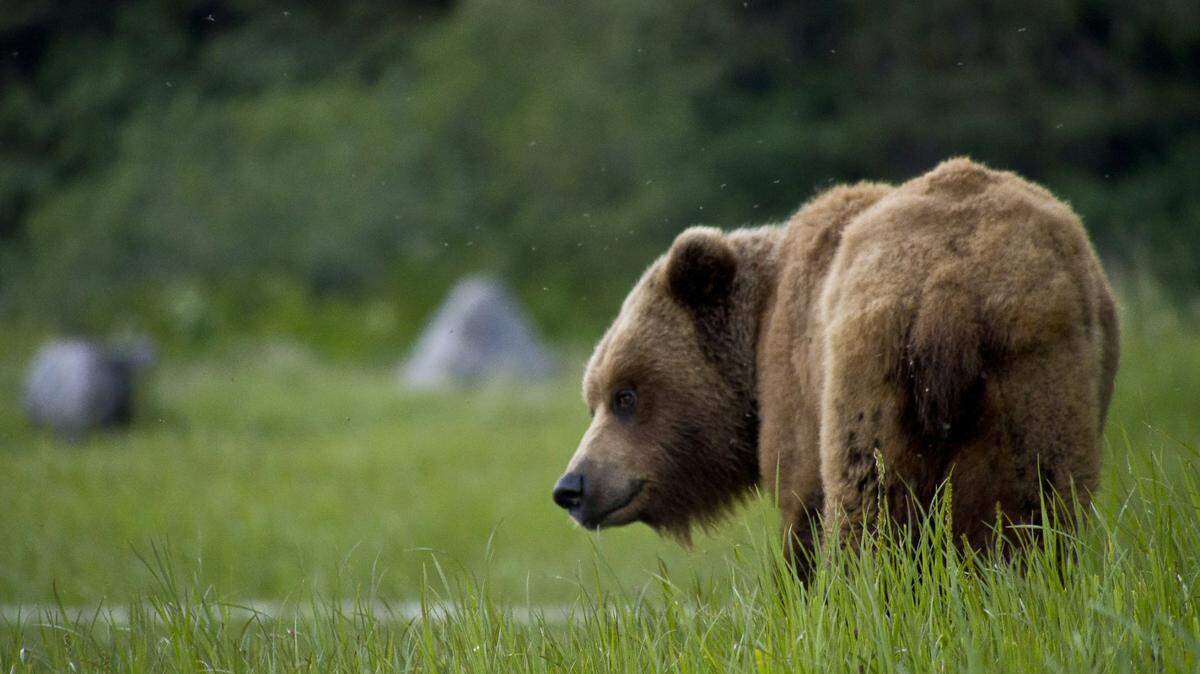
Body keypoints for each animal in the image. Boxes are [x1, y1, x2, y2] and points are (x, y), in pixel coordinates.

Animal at [551, 158, 1119, 575]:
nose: (571, 487)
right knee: (1035, 505)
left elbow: (803, 507)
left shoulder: (796, 388)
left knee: (870, 507)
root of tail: (949, 288)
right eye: (593, 398)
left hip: (870, 371)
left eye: (625, 395)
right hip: (1034, 370)